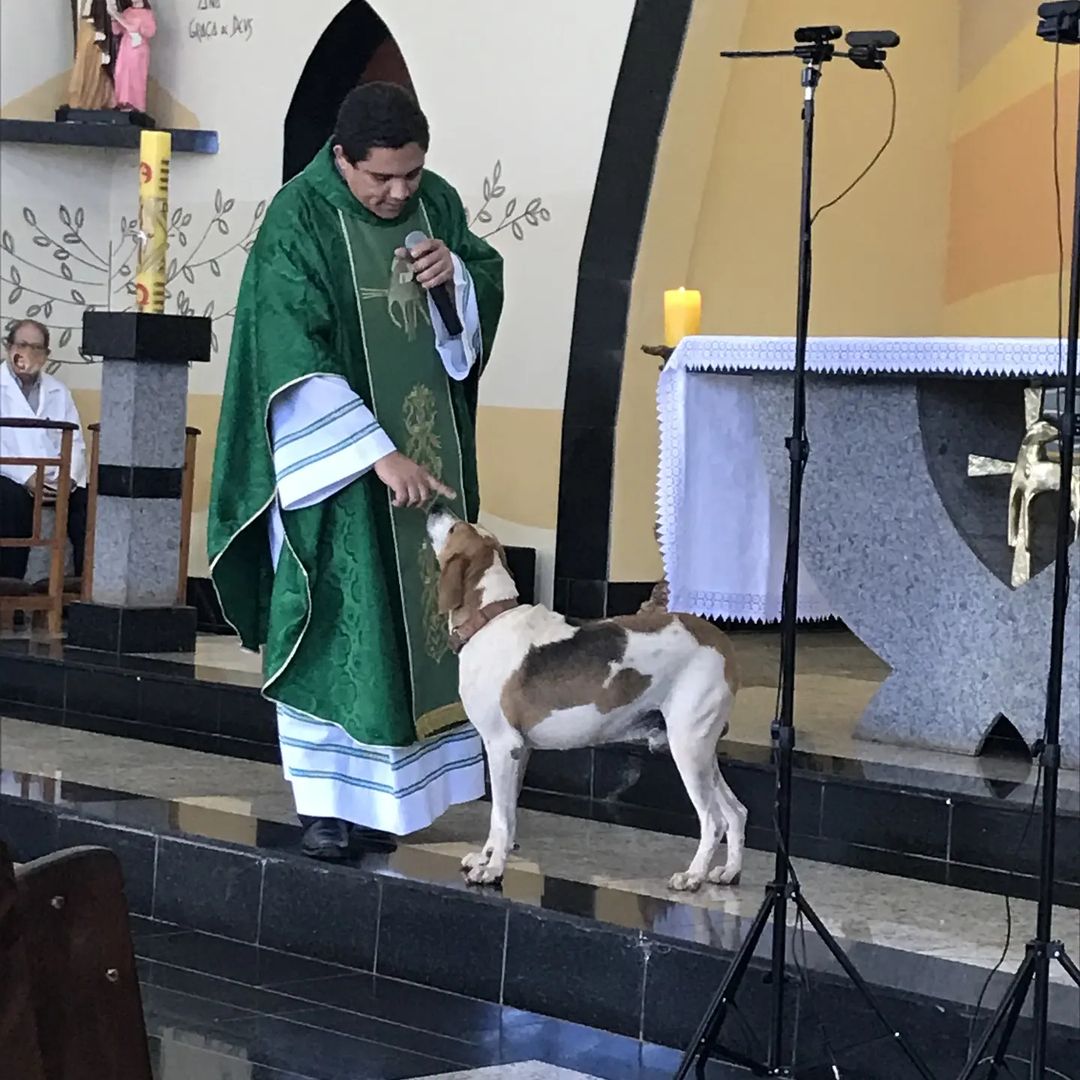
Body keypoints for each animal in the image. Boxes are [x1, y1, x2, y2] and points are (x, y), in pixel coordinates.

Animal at [425, 509, 747, 889]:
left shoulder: (503, 747)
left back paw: (693, 875)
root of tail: (718, 639)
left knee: (714, 819)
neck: (489, 619)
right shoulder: (521, 751)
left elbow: (502, 819)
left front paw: (493, 870)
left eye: (453, 528)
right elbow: (504, 816)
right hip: (701, 749)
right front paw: (487, 856)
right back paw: (728, 871)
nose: (434, 508)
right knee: (736, 812)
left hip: (688, 747)